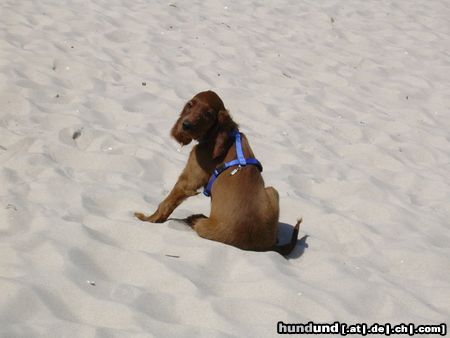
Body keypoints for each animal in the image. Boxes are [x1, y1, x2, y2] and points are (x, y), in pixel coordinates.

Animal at [135, 91, 300, 255]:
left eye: (208, 114)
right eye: (190, 105)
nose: (186, 125)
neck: (219, 137)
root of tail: (267, 247)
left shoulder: (188, 181)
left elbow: (166, 203)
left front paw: (147, 219)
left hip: (205, 227)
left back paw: (195, 219)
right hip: (272, 191)